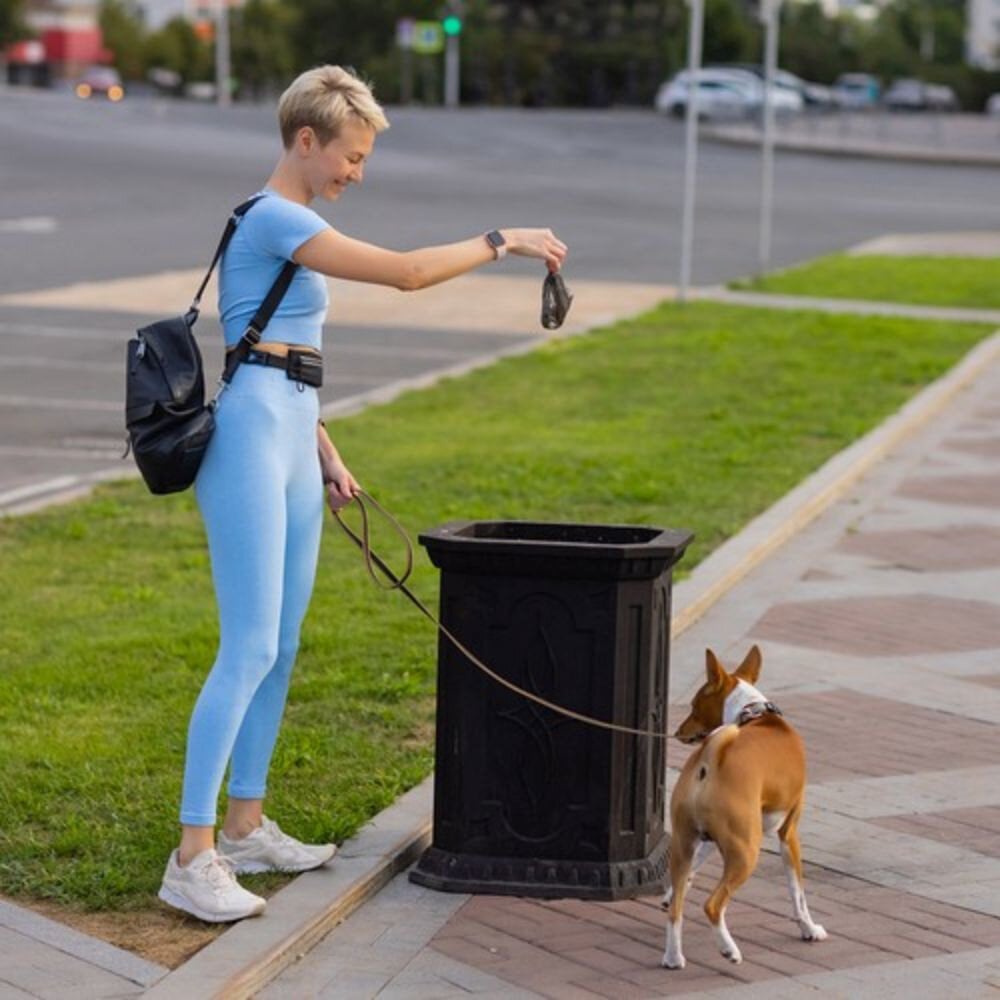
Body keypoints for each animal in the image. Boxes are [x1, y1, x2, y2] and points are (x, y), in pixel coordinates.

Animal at [660, 644, 824, 964]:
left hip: (687, 842)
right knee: (713, 905)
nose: (677, 732)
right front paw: (809, 929)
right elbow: (798, 894)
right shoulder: (789, 834)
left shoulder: (708, 838)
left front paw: (671, 892)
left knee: (677, 911)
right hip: (747, 850)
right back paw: (729, 949)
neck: (754, 713)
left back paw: (673, 957)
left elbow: (691, 874)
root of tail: (709, 760)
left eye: (693, 706)